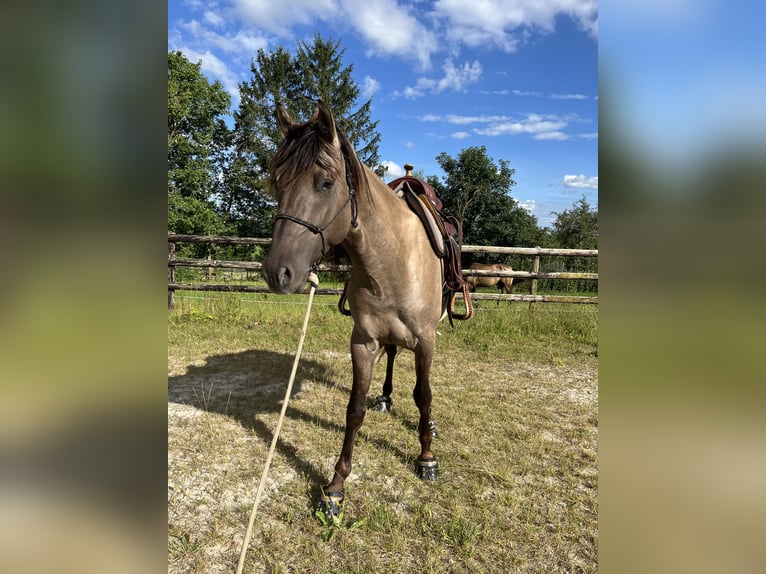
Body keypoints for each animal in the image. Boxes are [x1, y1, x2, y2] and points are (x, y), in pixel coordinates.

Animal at [262, 101, 444, 520]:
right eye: (277, 182)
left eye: (326, 183)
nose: (277, 272)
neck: (392, 261)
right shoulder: (363, 342)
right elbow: (354, 410)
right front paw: (336, 485)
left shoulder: (426, 342)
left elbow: (424, 395)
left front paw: (426, 457)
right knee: (391, 356)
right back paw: (386, 398)